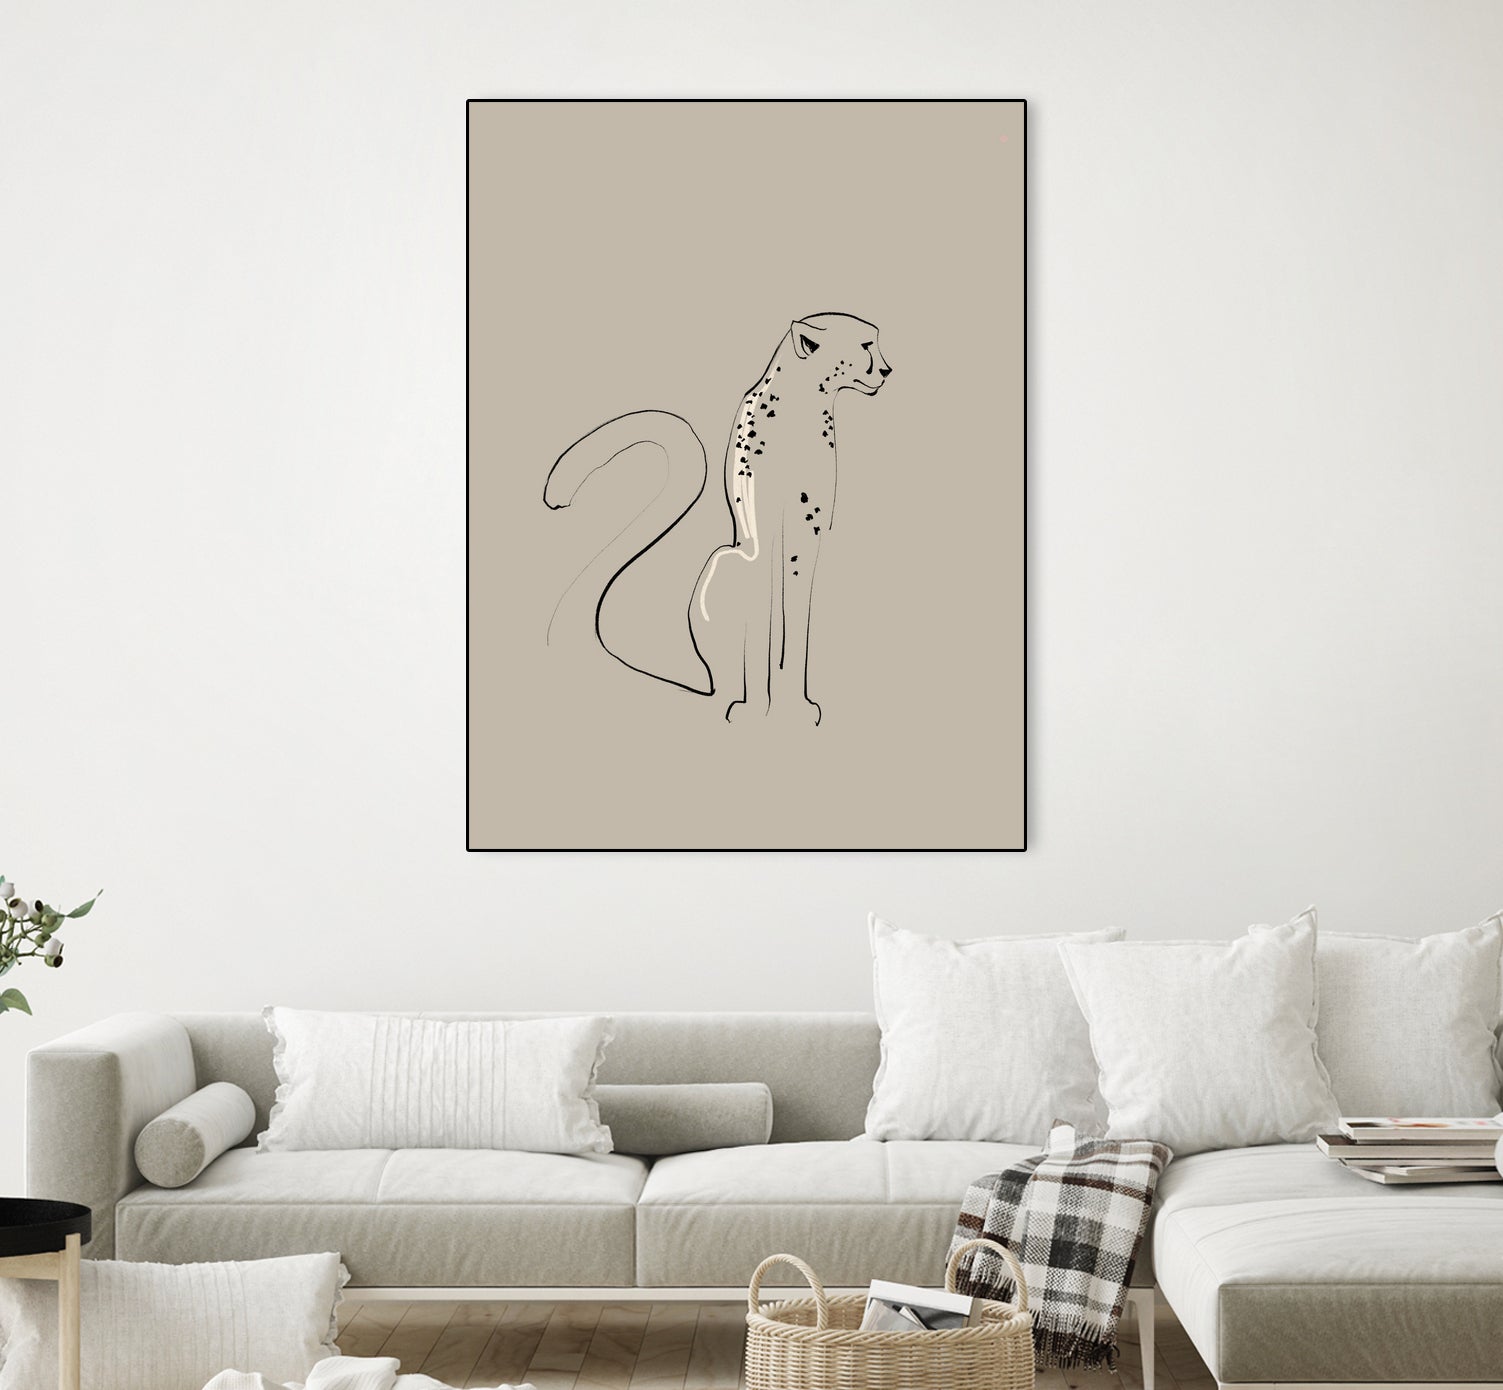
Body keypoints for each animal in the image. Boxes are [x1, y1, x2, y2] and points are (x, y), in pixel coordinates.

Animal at [544, 312, 892, 725]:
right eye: (865, 346)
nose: (887, 370)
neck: (804, 408)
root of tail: (710, 690)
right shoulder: (762, 532)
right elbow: (760, 626)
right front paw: (756, 709)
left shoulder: (809, 528)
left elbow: (796, 624)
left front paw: (797, 707)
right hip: (724, 559)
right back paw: (738, 703)